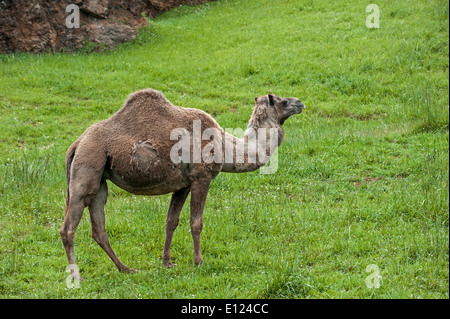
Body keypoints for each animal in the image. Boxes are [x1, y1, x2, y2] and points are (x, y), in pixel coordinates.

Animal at [59, 89, 304, 280]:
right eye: (282, 101)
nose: (300, 102)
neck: (225, 146)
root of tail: (77, 143)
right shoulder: (201, 177)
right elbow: (196, 222)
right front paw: (199, 261)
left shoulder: (182, 184)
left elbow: (171, 221)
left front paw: (167, 262)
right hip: (88, 166)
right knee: (68, 228)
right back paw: (76, 276)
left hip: (99, 178)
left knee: (98, 227)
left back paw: (126, 269)